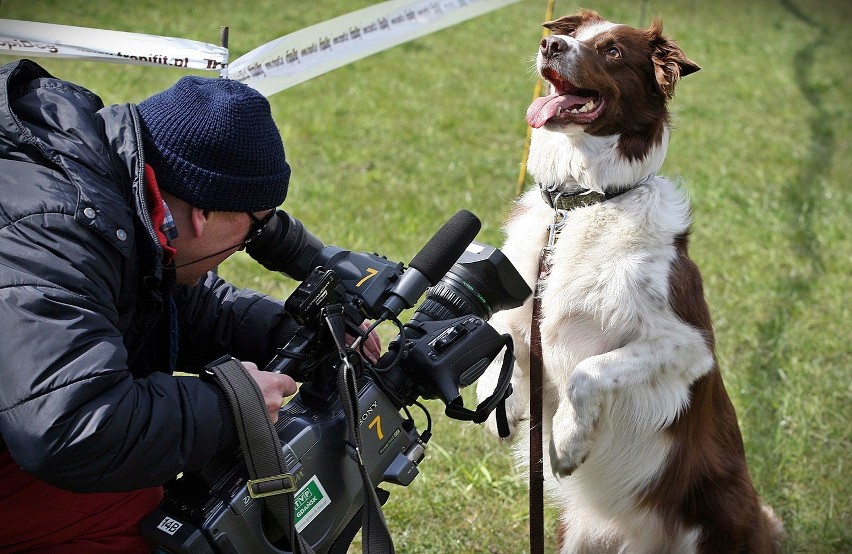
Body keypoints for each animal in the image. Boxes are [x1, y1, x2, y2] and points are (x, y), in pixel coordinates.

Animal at [476, 9, 784, 552]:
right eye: (573, 35)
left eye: (614, 51)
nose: (550, 46)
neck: (580, 203)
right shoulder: (524, 311)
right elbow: (497, 333)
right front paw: (503, 404)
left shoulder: (688, 345)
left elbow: (590, 370)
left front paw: (566, 441)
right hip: (578, 534)